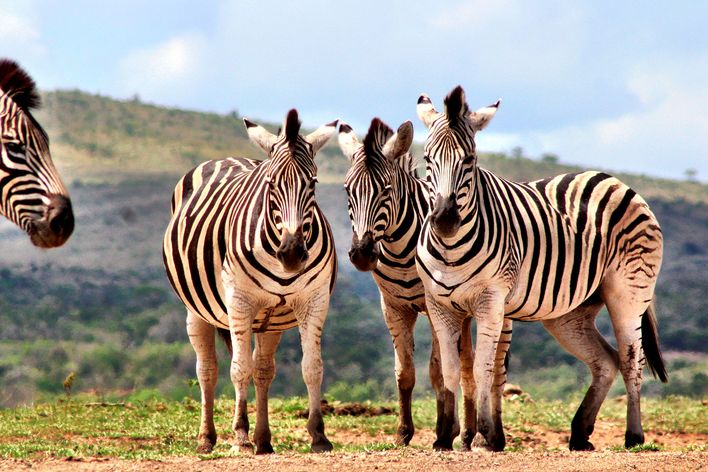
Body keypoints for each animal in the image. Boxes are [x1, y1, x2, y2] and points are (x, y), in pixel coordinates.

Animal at [163, 109, 338, 454]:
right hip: (198, 310)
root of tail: (227, 157)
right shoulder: (239, 303)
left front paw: (318, 435)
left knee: (263, 370)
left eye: (312, 183)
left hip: (271, 320)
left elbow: (312, 368)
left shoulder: (315, 301)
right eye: (271, 184)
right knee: (208, 370)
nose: (292, 253)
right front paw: (240, 436)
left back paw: (264, 440)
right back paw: (207, 438)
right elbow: (238, 368)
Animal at [338, 117, 477, 449]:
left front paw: (444, 432)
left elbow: (438, 372)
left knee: (466, 365)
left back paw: (466, 433)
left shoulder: (433, 304)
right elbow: (405, 372)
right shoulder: (393, 306)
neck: (401, 251)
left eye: (386, 190)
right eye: (348, 190)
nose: (361, 255)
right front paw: (403, 432)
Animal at [415, 85, 667, 451]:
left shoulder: (491, 302)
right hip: (569, 312)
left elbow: (482, 369)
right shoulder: (439, 306)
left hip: (629, 291)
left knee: (632, 359)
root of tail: (613, 180)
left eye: (470, 160)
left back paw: (634, 437)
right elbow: (450, 372)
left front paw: (483, 437)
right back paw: (580, 434)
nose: (445, 221)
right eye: (427, 159)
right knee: (606, 360)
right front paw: (445, 438)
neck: (450, 250)